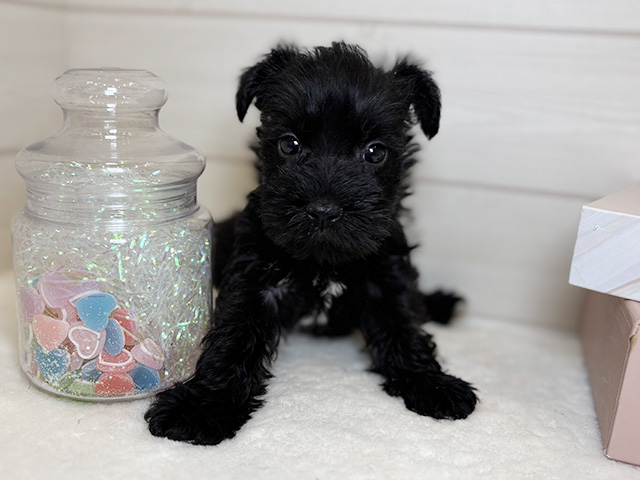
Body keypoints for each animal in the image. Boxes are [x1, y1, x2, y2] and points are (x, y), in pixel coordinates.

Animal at [145, 42, 478, 445]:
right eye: (290, 145)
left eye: (374, 152)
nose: (323, 210)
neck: (324, 260)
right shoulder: (257, 280)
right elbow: (234, 337)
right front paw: (203, 405)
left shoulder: (385, 275)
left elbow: (404, 327)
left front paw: (430, 382)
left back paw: (441, 303)